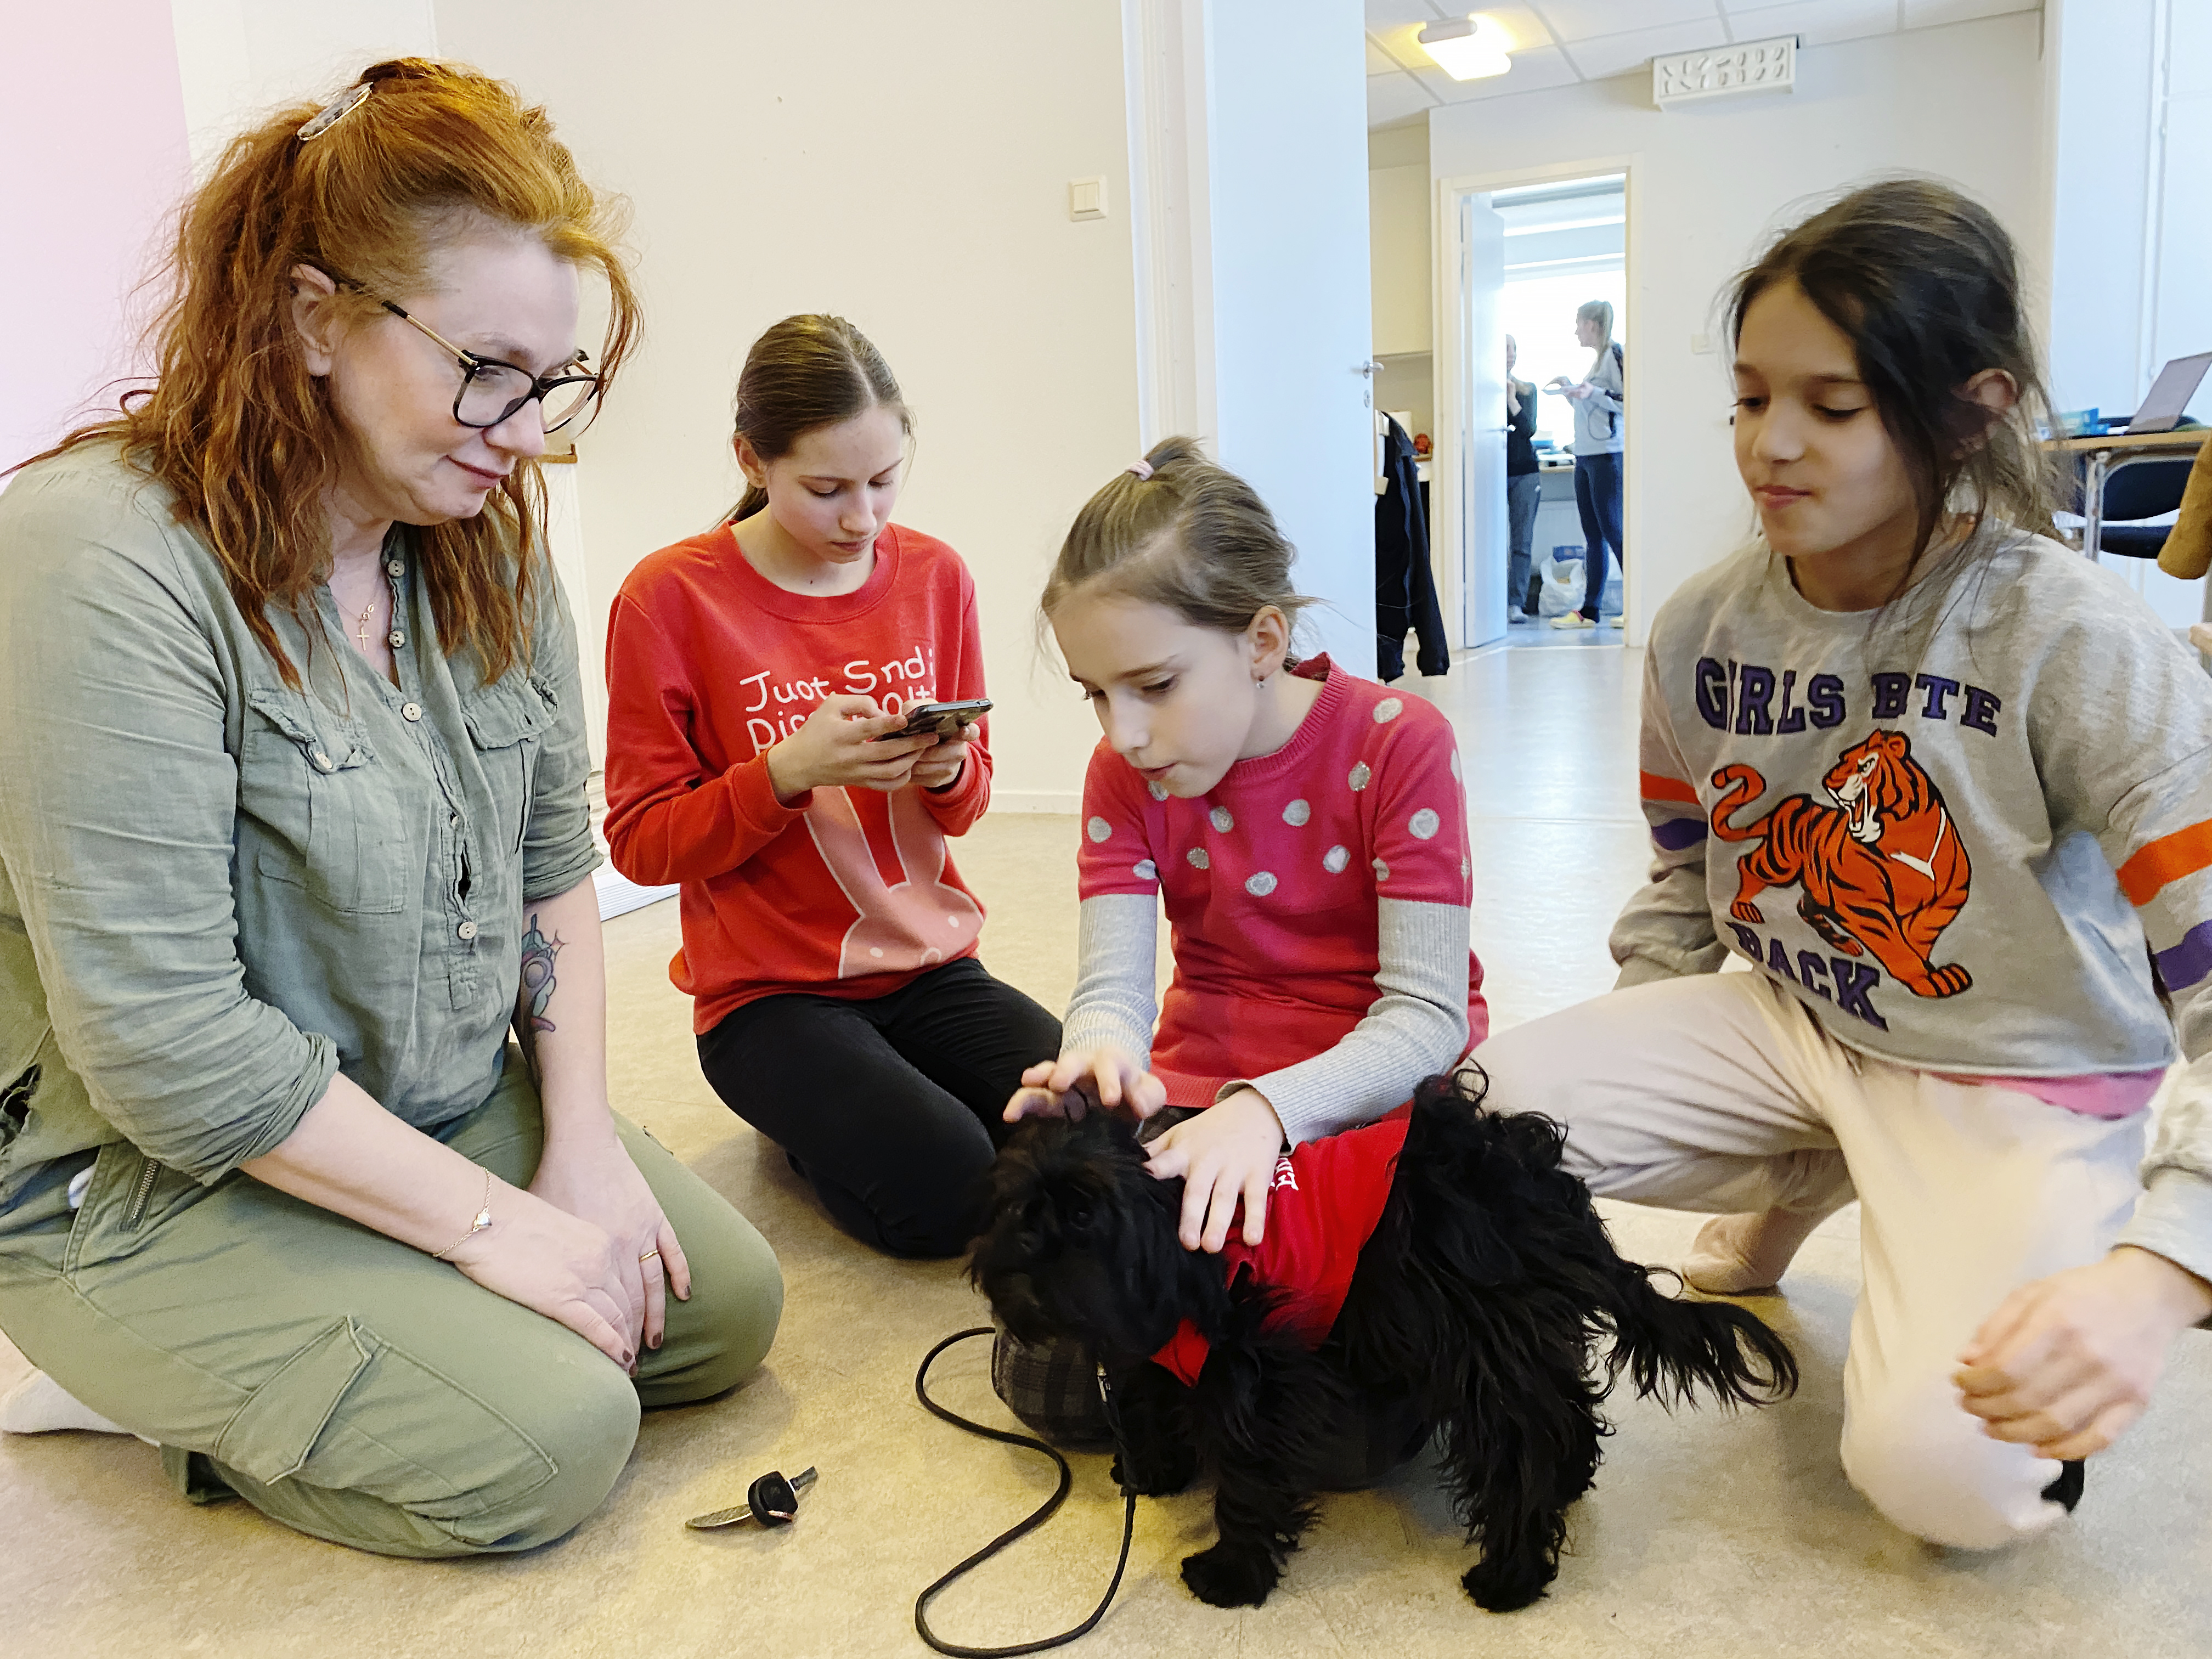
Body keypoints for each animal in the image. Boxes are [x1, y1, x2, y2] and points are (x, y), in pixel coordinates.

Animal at [978, 1070, 1805, 1619]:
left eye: (1085, 1217)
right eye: (1019, 1210)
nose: (1019, 1267)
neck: (1178, 1238)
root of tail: (1540, 1187)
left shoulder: (1254, 1374)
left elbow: (1246, 1478)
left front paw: (1231, 1574)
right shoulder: (1155, 1349)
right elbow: (1147, 1399)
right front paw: (1152, 1472)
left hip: (1479, 1351)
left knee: (1519, 1449)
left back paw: (1510, 1577)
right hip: (1522, 1339)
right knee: (1562, 1413)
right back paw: (1567, 1486)